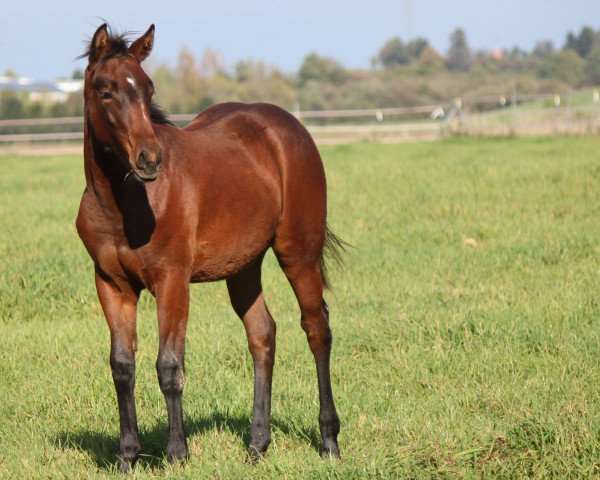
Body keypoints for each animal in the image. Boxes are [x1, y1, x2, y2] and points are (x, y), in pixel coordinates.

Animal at [76, 24, 342, 470]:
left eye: (148, 89)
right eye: (106, 91)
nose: (150, 159)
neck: (123, 205)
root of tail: (289, 127)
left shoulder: (172, 280)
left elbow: (168, 366)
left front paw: (177, 454)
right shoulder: (112, 284)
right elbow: (122, 366)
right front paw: (127, 456)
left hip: (298, 253)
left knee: (316, 329)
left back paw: (329, 441)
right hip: (244, 267)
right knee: (262, 334)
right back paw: (257, 445)